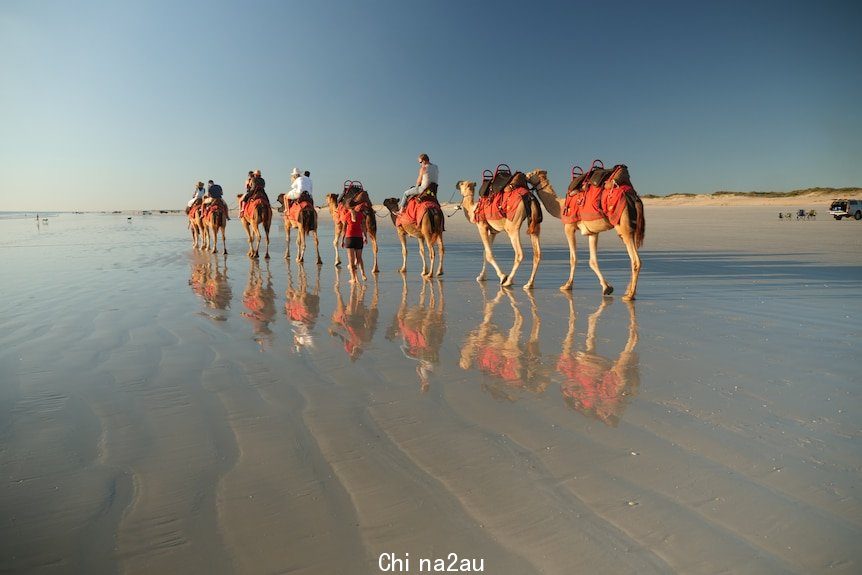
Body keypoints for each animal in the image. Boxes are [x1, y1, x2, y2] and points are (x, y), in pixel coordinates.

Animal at [528, 168, 644, 300]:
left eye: (532, 173)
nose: (526, 175)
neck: (561, 206)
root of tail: (634, 198)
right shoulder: (592, 232)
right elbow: (592, 261)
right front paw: (607, 288)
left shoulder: (569, 227)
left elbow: (573, 258)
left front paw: (567, 286)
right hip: (631, 227)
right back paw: (628, 291)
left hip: (622, 225)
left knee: (635, 260)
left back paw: (629, 295)